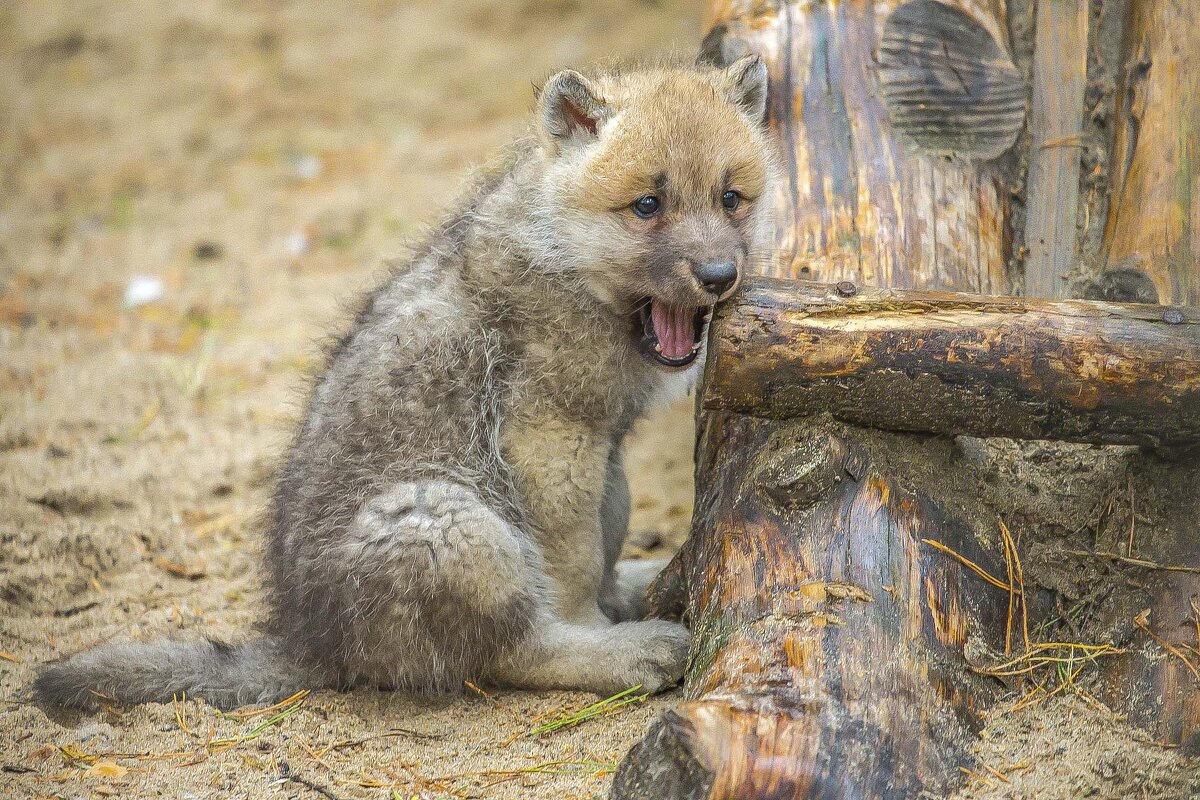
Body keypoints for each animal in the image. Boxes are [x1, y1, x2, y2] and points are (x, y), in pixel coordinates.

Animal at [34, 55, 776, 710]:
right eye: (647, 205)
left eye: (731, 199)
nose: (718, 276)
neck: (564, 260)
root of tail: (309, 645)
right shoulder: (547, 437)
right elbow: (572, 565)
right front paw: (601, 636)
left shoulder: (595, 449)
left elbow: (600, 548)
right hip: (452, 524)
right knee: (509, 649)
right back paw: (630, 651)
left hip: (573, 486)